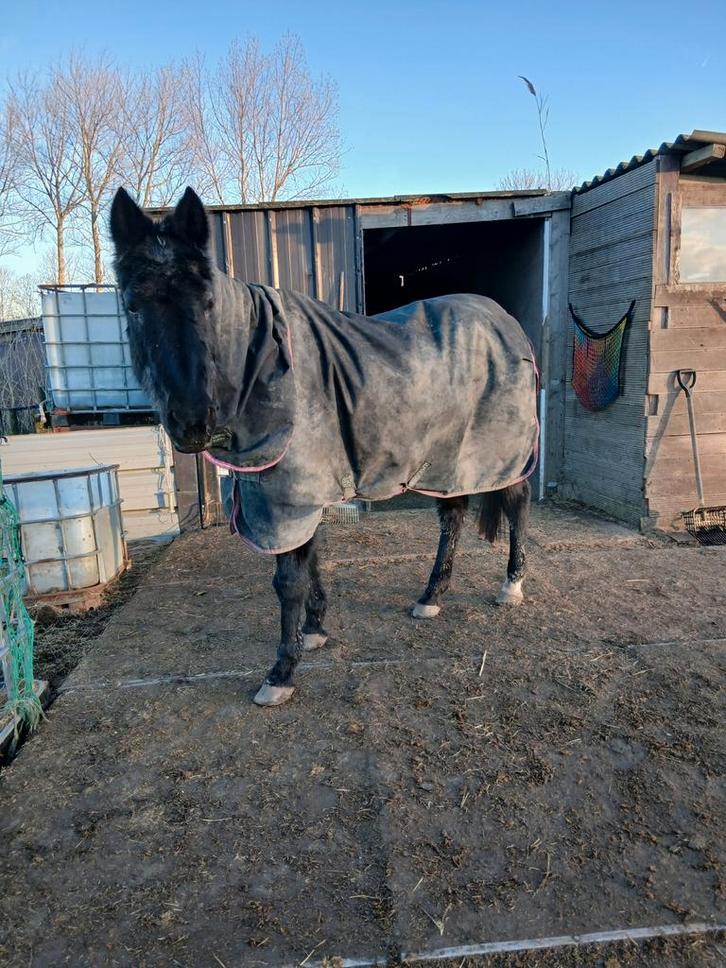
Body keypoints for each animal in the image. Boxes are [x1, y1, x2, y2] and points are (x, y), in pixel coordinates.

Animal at [110, 186, 539, 707]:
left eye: (208, 303)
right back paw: (430, 598)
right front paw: (314, 629)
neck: (265, 363)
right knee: (452, 516)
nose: (192, 422)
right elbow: (309, 558)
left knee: (516, 506)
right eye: (133, 305)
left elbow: (288, 580)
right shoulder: (289, 491)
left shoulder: (291, 488)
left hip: (501, 451)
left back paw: (510, 586)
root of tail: (505, 321)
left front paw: (281, 672)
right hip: (448, 459)